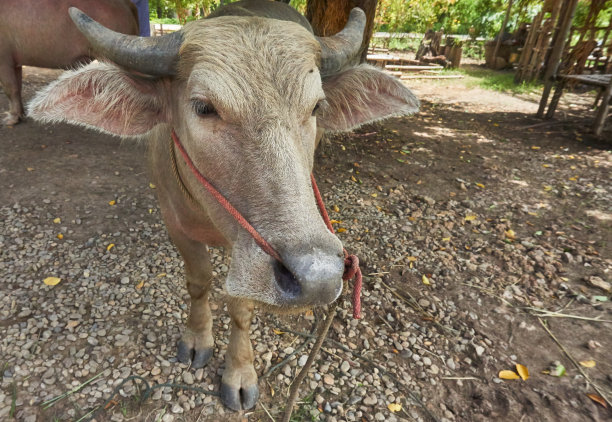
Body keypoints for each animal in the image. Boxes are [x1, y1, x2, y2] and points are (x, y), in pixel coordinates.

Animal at [0, 0, 136, 125]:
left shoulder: (4, 60)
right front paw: (20, 114)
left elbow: (10, 88)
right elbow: (17, 87)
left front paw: (12, 118)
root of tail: (126, 4)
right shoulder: (14, 63)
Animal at [29, 0, 420, 410]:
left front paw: (239, 372)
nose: (317, 277)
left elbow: (240, 307)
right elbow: (199, 282)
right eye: (203, 107)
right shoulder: (175, 226)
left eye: (316, 106)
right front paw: (196, 339)